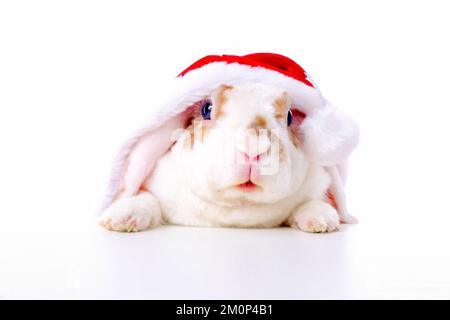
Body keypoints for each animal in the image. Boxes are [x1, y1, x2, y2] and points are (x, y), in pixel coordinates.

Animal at [100, 82, 356, 232]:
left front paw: (321, 221)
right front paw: (119, 219)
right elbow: (146, 200)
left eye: (290, 116)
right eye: (207, 109)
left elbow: (311, 202)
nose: (253, 148)